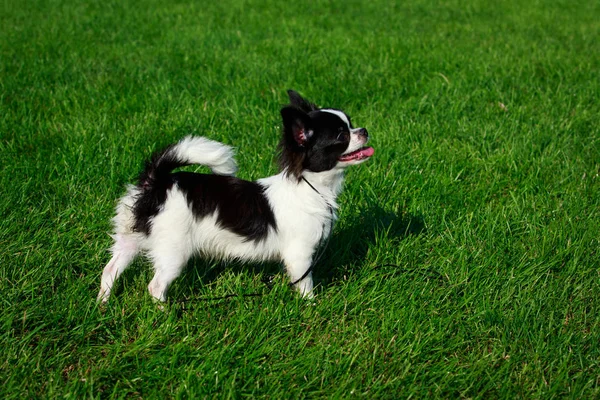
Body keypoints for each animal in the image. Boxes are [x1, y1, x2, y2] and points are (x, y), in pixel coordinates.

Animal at [97, 91, 376, 304]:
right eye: (341, 135)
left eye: (351, 124)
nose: (364, 130)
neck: (311, 187)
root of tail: (157, 182)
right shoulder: (300, 255)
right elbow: (305, 285)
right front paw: (312, 306)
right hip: (173, 250)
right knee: (155, 286)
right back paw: (165, 314)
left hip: (130, 238)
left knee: (110, 270)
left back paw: (103, 304)